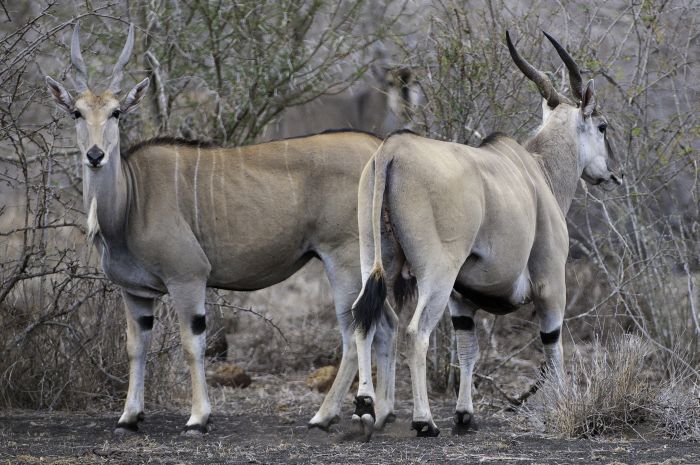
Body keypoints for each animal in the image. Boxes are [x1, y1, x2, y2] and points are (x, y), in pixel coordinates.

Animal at [46, 22, 400, 436]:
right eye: (76, 112)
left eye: (116, 112)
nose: (95, 155)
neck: (131, 199)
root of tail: (379, 151)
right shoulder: (134, 292)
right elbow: (136, 346)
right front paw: (129, 416)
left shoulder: (187, 277)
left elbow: (191, 343)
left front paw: (198, 417)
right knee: (386, 324)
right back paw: (384, 413)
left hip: (344, 260)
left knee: (354, 328)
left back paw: (326, 415)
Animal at [350, 30, 624, 436]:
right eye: (602, 126)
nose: (616, 172)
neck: (539, 171)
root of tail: (391, 151)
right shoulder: (551, 285)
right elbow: (553, 346)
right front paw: (561, 406)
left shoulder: (462, 301)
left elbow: (468, 350)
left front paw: (465, 414)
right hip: (437, 274)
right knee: (415, 333)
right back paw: (423, 420)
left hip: (375, 260)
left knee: (365, 320)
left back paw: (365, 405)